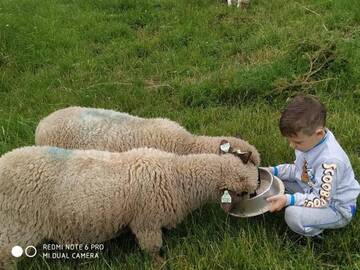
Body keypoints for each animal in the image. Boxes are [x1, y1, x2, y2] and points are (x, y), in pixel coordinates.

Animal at [0, 146, 258, 268]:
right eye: (244, 192)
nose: (255, 196)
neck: (177, 175)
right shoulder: (146, 222)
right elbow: (153, 249)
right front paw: (160, 264)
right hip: (15, 226)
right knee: (5, 256)